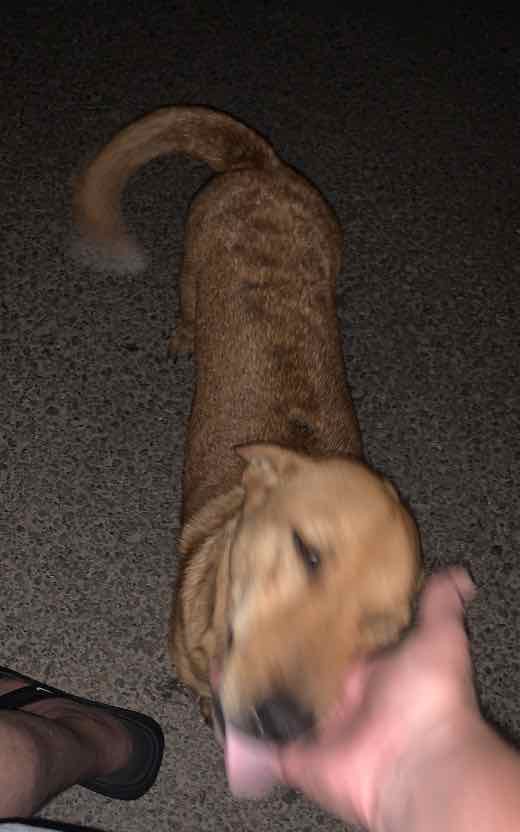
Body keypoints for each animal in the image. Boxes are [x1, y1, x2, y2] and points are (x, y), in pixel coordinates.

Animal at [74, 106, 421, 751]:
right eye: (307, 552)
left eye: (382, 630)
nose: (282, 723)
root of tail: (260, 167)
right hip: (193, 256)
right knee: (188, 303)